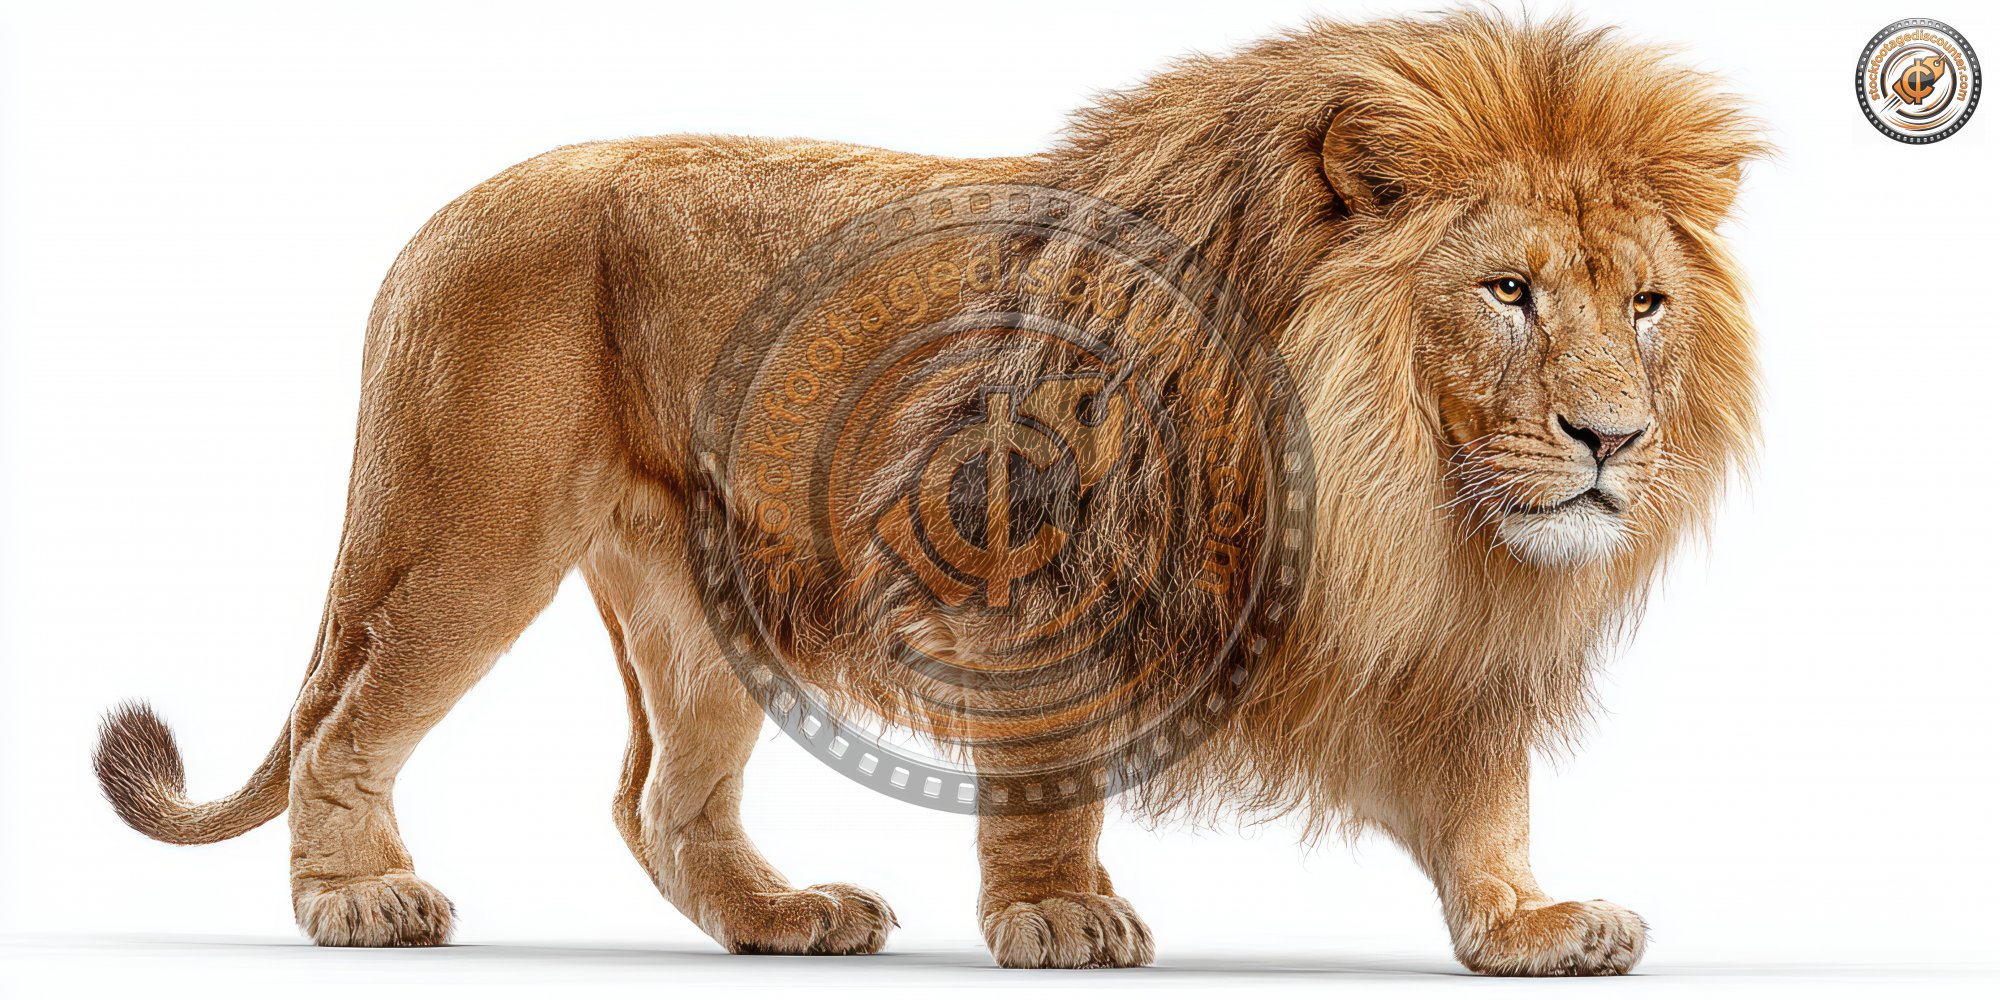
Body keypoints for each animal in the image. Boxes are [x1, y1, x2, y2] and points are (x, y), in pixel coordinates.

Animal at [92, 11, 1762, 976]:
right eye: (1507, 292)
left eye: (1645, 305)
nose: (1612, 441)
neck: (1401, 504)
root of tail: (440, 215)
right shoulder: (1027, 565)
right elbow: (1047, 768)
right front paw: (1055, 915)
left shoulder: (1433, 655)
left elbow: (1484, 802)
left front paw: (1527, 926)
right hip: (466, 534)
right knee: (351, 723)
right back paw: (359, 902)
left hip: (698, 597)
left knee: (659, 799)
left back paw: (782, 922)